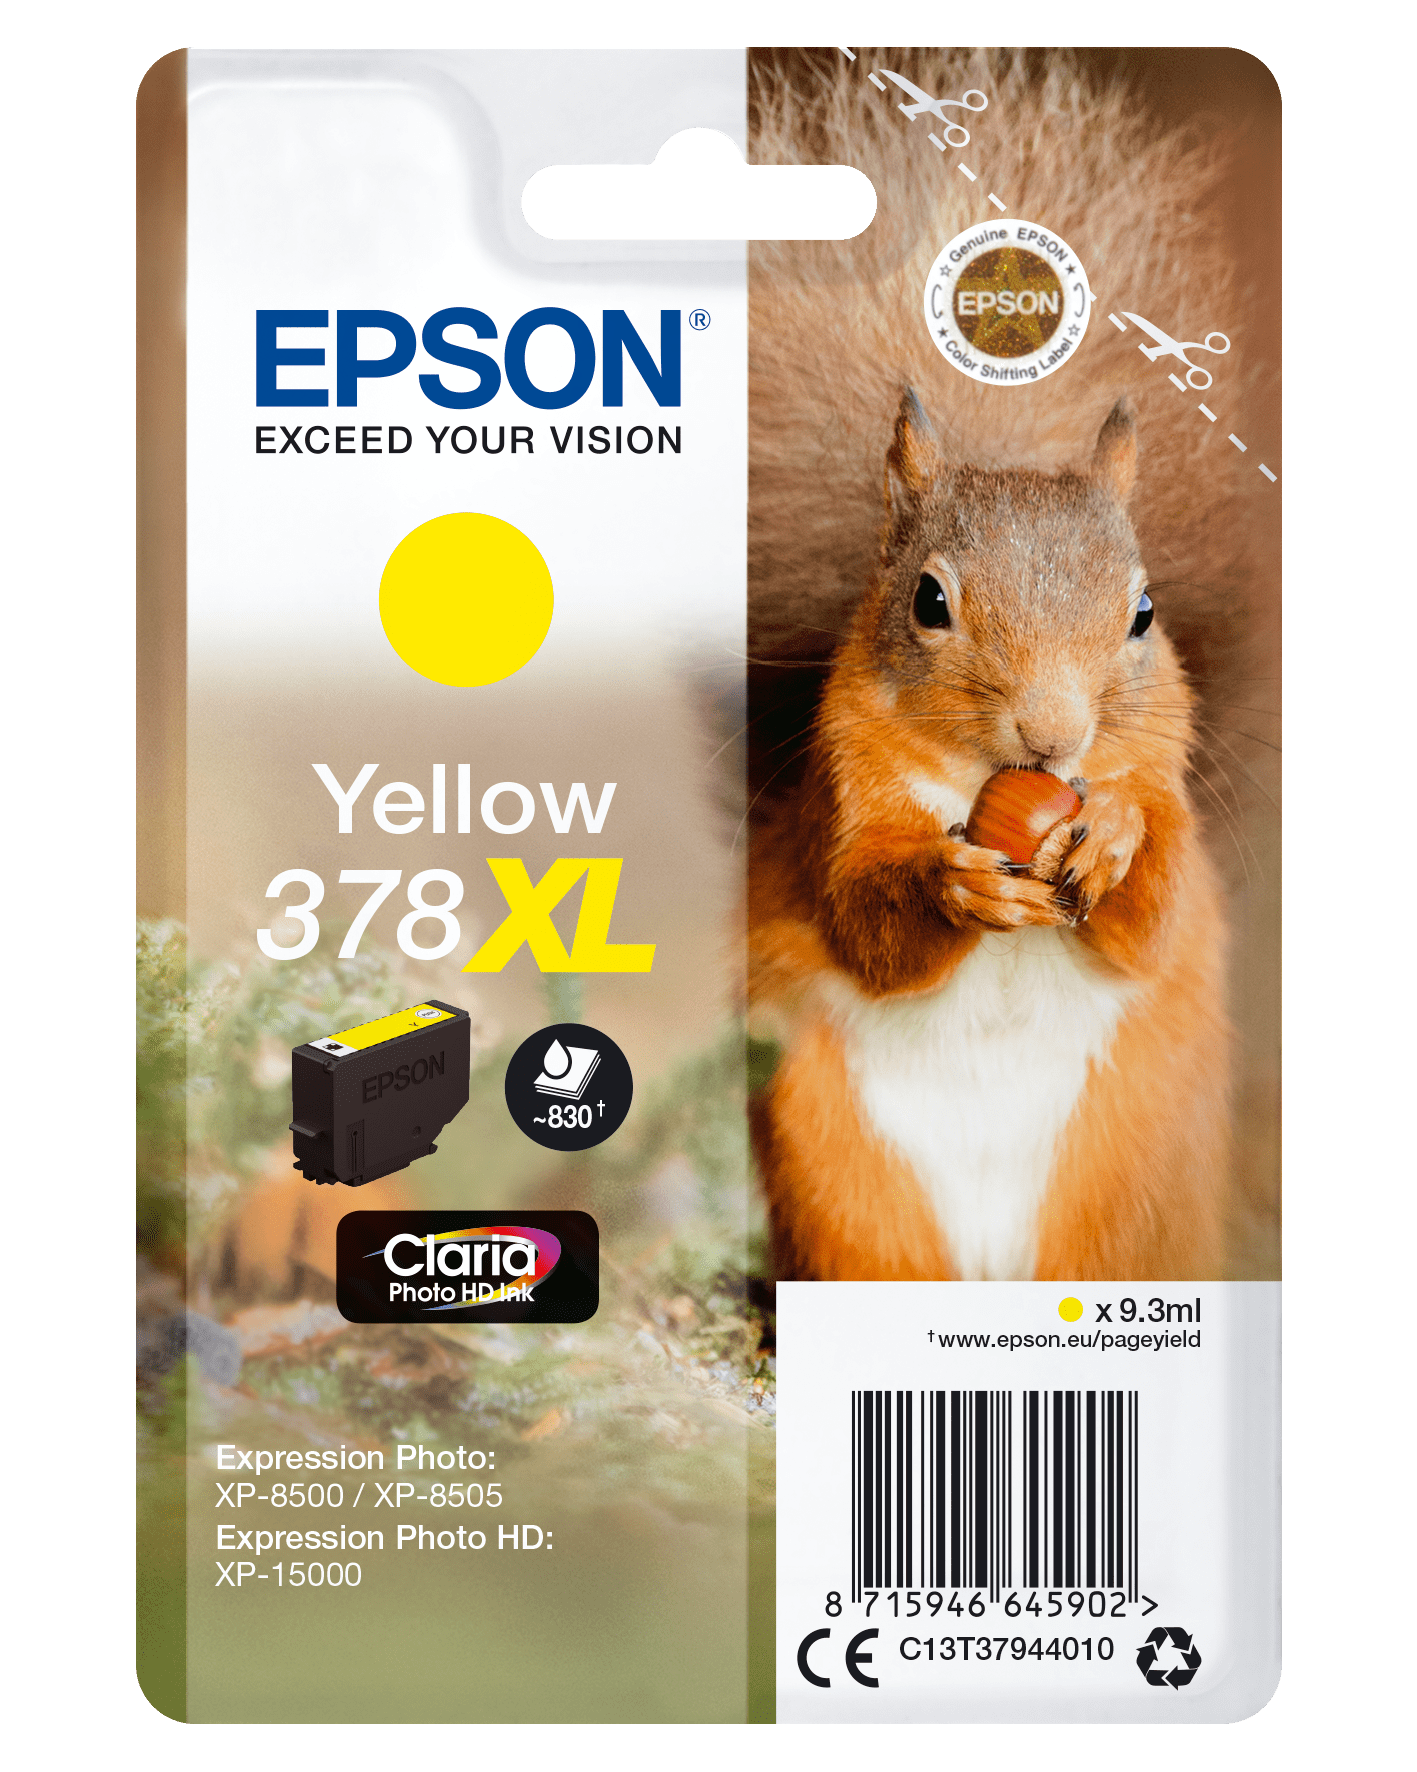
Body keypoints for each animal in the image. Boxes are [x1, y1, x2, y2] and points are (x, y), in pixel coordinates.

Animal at [744, 49, 1278, 1282]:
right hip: (840, 1173)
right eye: (928, 601)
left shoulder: (1167, 790)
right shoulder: (842, 801)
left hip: (1129, 1179)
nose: (1053, 735)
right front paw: (956, 883)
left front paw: (1114, 837)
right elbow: (864, 918)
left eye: (1143, 613)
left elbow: (1153, 911)